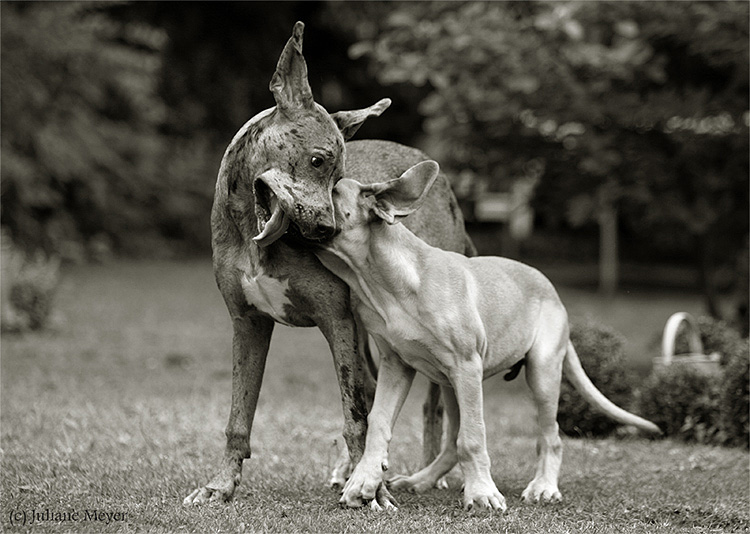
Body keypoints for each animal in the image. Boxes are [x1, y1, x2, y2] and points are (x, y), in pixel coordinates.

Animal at [184, 23, 476, 508]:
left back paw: (426, 474)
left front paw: (373, 492)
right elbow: (238, 419)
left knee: (430, 401)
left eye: (341, 179)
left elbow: (355, 414)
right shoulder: (248, 324)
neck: (256, 239)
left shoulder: (336, 320)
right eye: (318, 161)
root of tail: (447, 187)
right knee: (376, 389)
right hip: (366, 332)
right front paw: (220, 485)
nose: (326, 229)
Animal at [314, 161, 660, 512]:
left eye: (332, 187)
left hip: (541, 372)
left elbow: (473, 437)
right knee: (451, 442)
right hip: (449, 383)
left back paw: (543, 486)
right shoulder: (396, 366)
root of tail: (553, 291)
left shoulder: (466, 365)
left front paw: (481, 492)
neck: (386, 280)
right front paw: (363, 482)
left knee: (550, 436)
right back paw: (420, 480)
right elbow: (379, 423)